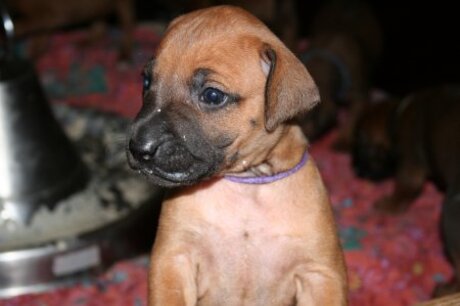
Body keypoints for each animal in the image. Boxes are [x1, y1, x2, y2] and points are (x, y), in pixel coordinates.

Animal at [127, 4, 346, 306]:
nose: (139, 148)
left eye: (212, 95)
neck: (248, 186)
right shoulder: (174, 259)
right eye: (147, 81)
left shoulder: (320, 275)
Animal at [352, 85, 460, 296]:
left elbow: (403, 191)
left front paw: (388, 204)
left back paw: (446, 289)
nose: (357, 171)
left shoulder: (409, 166)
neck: (397, 114)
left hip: (449, 217)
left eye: (362, 150)